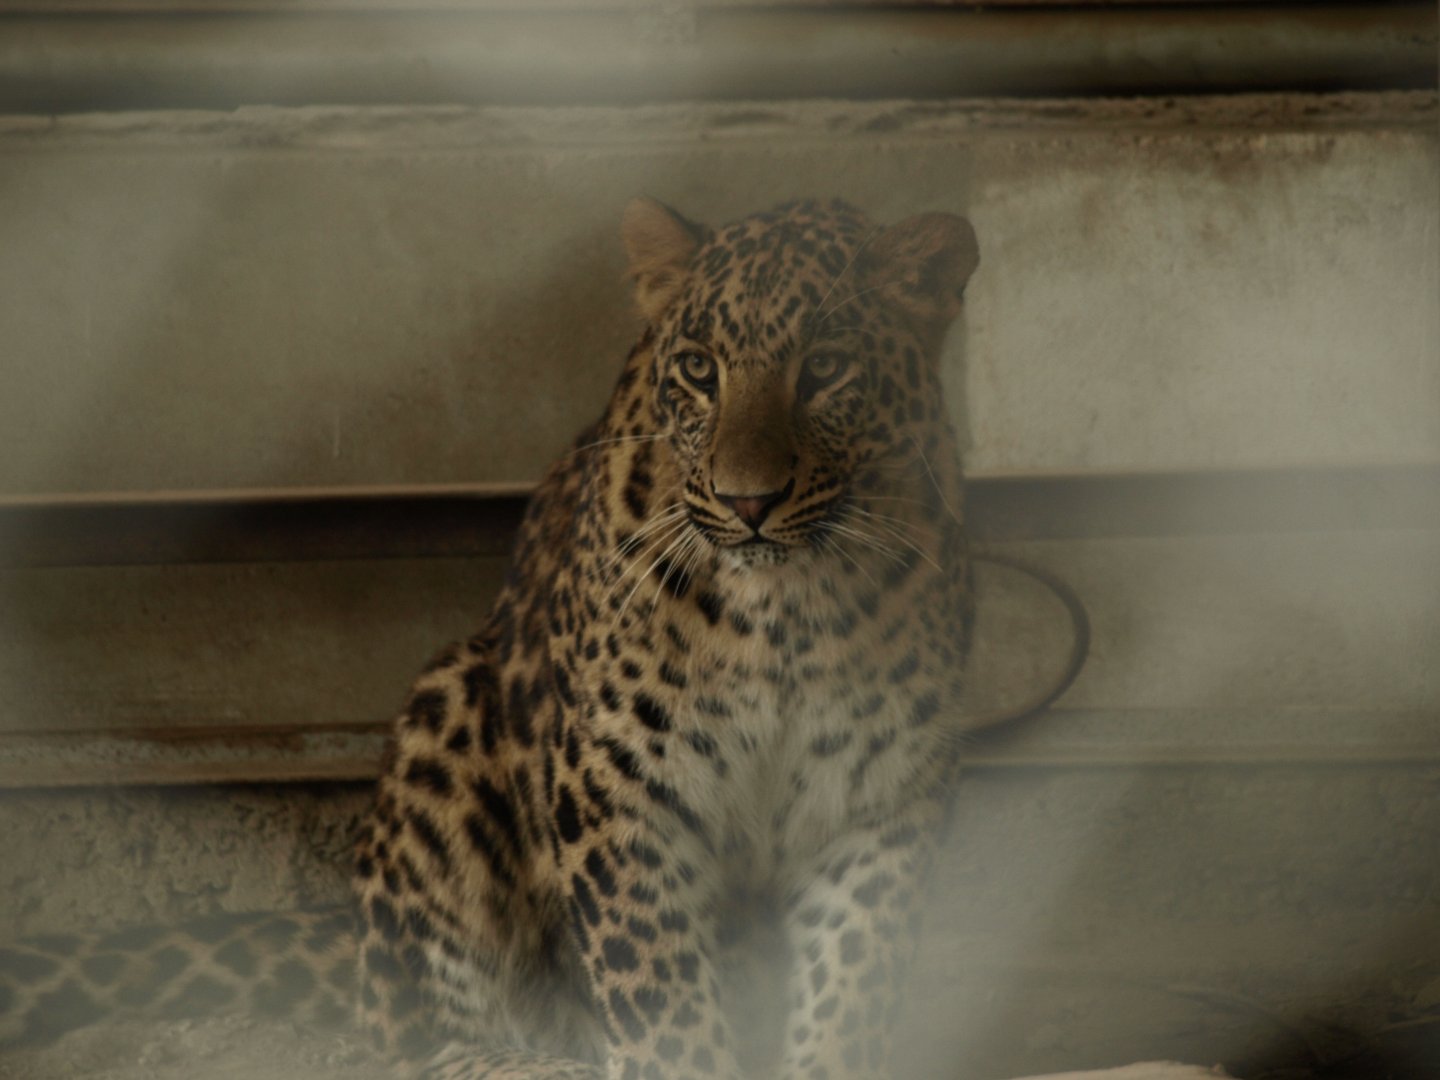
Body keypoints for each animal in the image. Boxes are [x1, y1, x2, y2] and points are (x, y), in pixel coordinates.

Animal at [0, 196, 989, 1080]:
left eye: (826, 368)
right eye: (700, 370)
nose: (748, 501)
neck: (781, 611)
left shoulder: (879, 801)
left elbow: (853, 990)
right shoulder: (620, 786)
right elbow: (659, 998)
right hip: (447, 717)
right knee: (418, 1043)